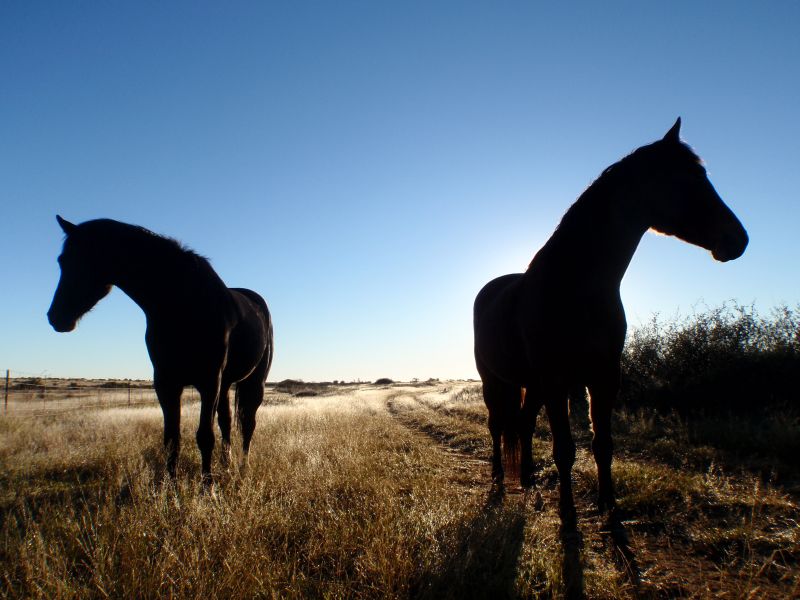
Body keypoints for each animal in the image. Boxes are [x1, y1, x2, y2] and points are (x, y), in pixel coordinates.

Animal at [50, 216, 276, 488]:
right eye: (62, 260)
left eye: (87, 259)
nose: (56, 317)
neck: (183, 303)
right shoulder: (166, 382)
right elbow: (171, 439)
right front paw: (171, 487)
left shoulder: (209, 381)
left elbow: (205, 436)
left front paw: (207, 488)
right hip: (225, 385)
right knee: (227, 422)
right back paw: (227, 465)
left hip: (253, 382)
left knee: (248, 423)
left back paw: (242, 468)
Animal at [472, 118, 748, 524]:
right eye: (690, 179)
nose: (738, 239)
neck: (575, 286)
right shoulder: (557, 381)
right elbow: (565, 448)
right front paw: (568, 515)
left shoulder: (604, 376)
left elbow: (602, 444)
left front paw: (609, 507)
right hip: (496, 381)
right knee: (497, 427)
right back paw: (497, 481)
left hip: (533, 385)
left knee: (522, 424)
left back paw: (529, 483)